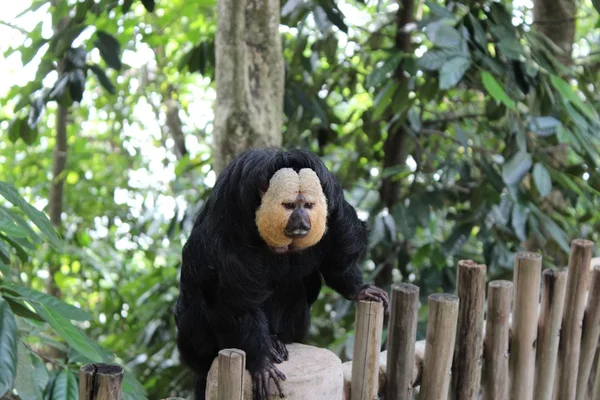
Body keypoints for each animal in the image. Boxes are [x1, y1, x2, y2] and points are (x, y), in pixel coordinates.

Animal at [173, 148, 390, 400]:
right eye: (289, 205)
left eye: (308, 205)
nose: (302, 220)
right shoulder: (230, 225)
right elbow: (237, 300)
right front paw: (261, 360)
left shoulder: (334, 206)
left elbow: (336, 261)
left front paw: (360, 290)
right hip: (194, 342)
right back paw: (269, 342)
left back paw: (278, 338)